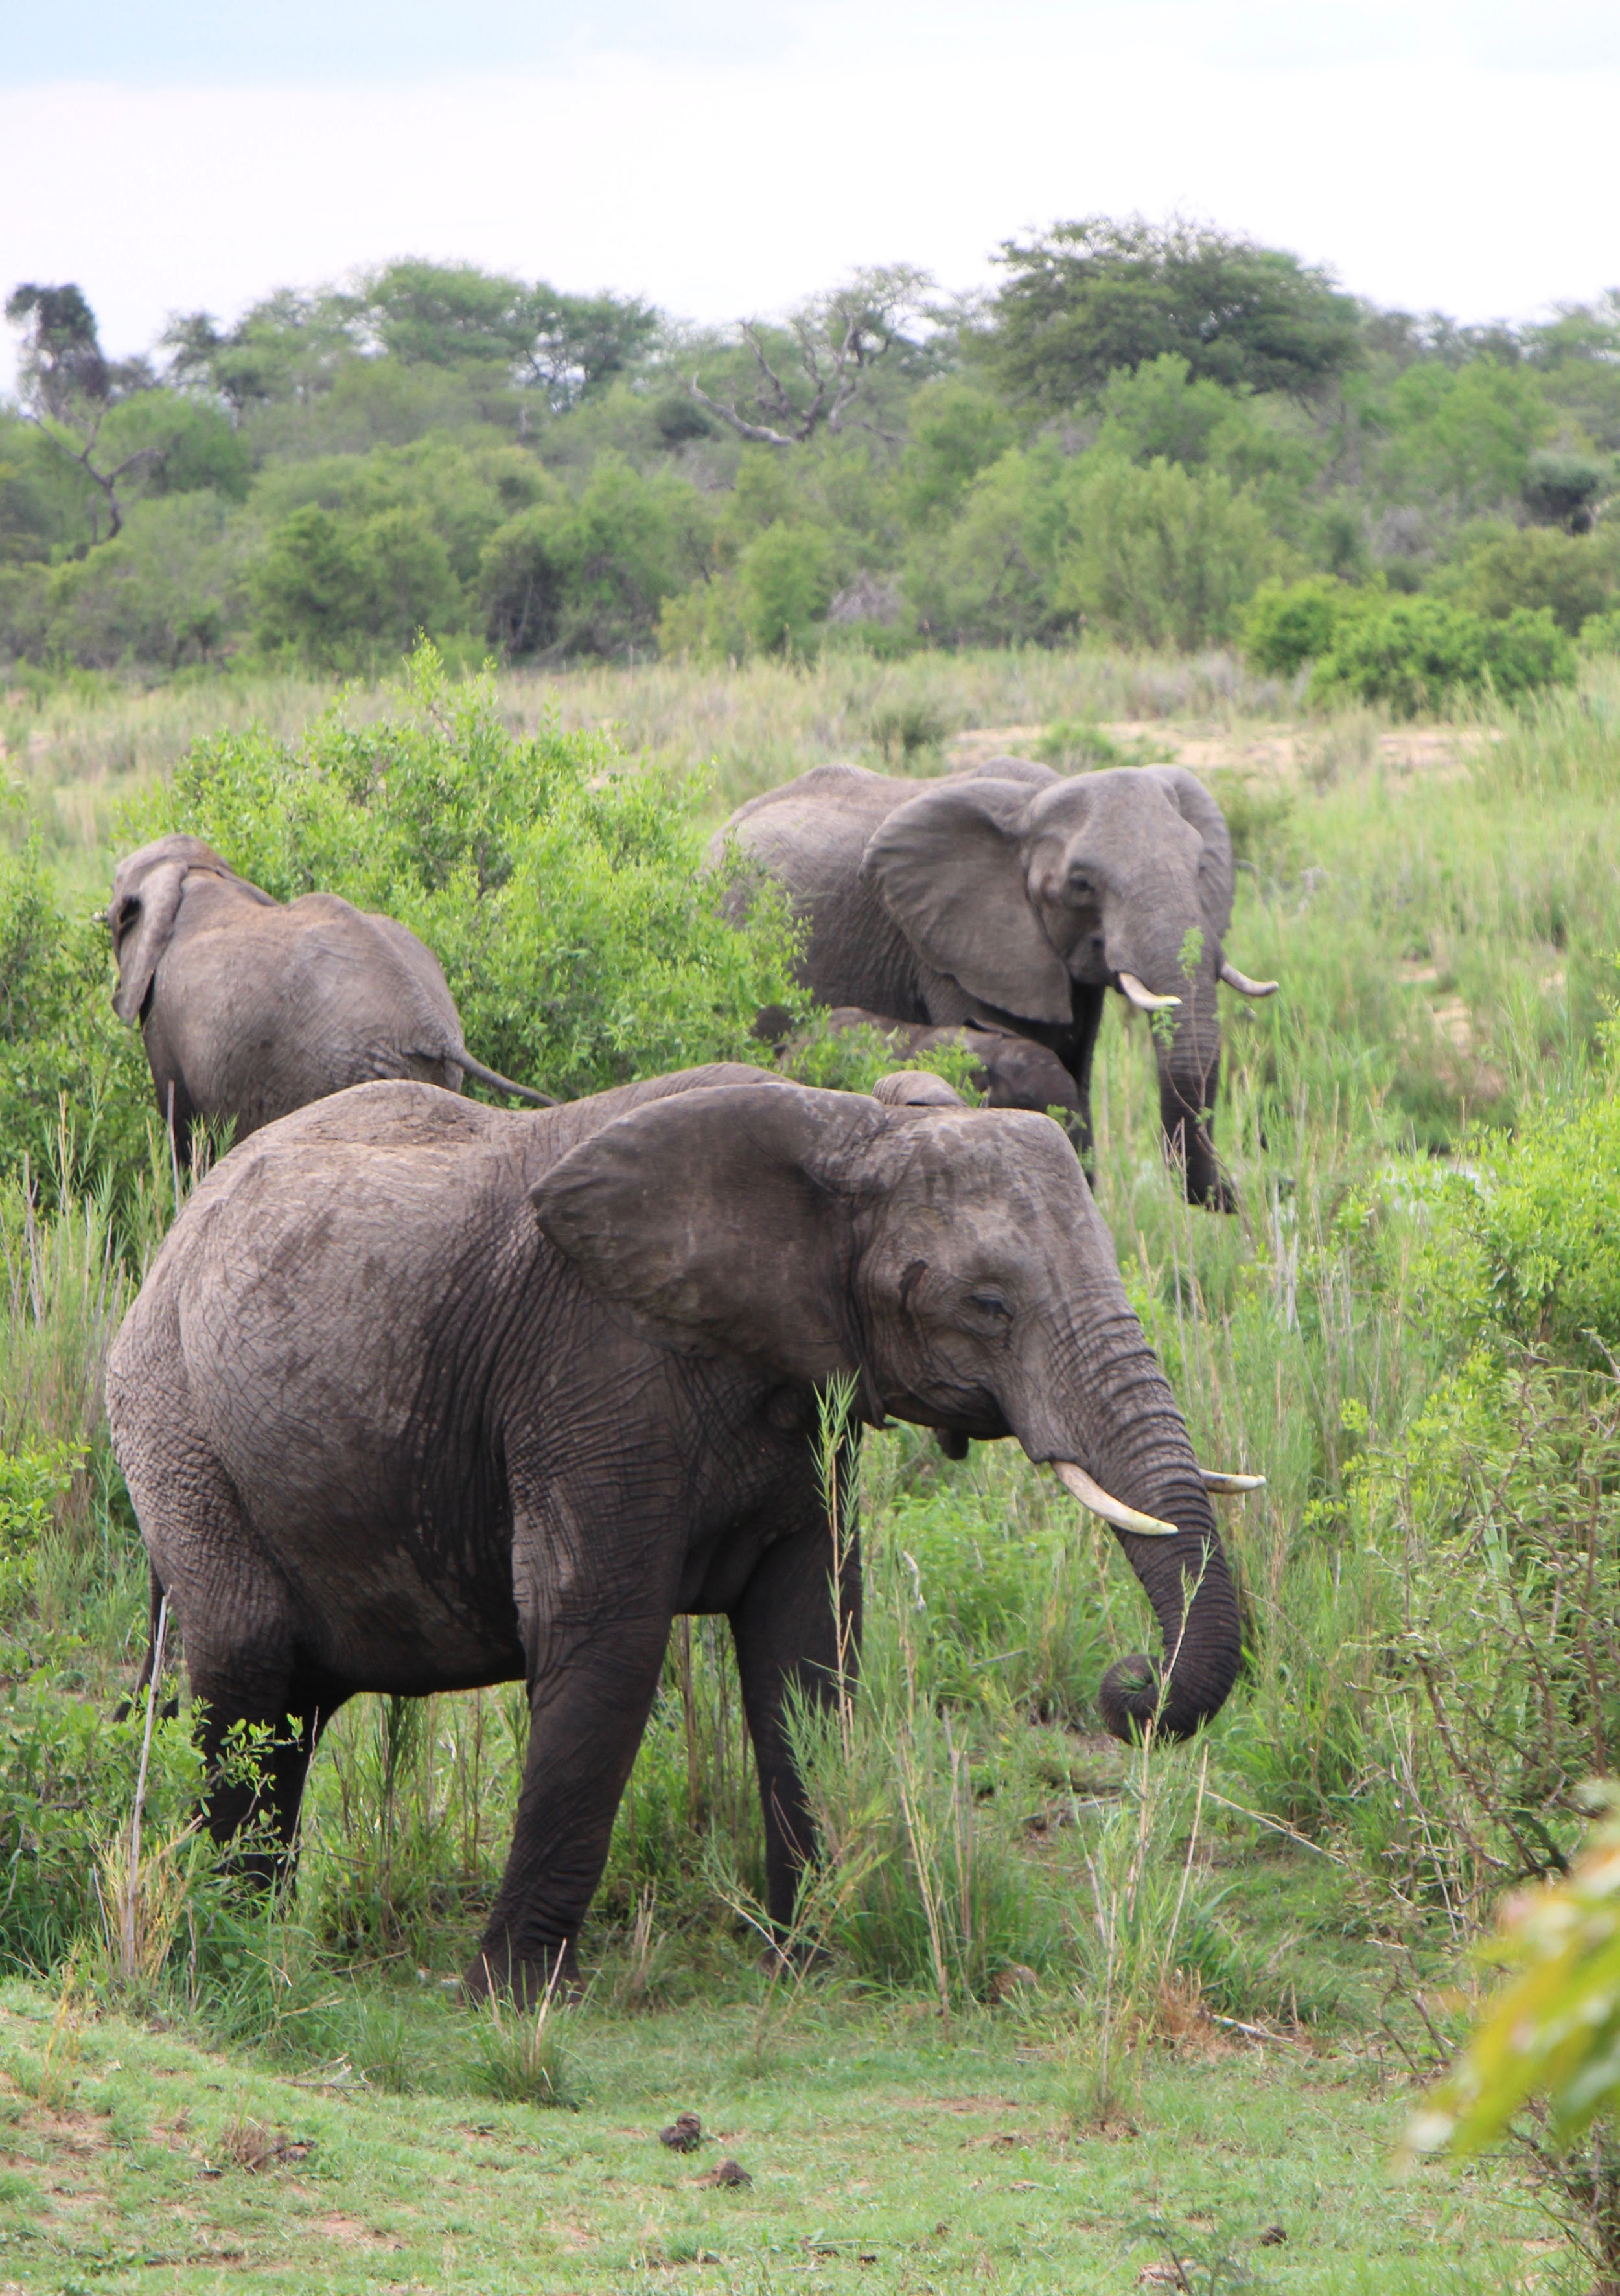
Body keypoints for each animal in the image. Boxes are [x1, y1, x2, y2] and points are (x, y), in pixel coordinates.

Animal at [109, 836, 549, 1157]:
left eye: (115, 886)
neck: (198, 876)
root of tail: (431, 1025)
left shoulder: (161, 1021)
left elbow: (180, 1126)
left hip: (334, 1069)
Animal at [110, 1056, 1250, 1993]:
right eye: (988, 1306)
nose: (1128, 1685)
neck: (845, 1131)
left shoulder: (807, 1399)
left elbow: (808, 1646)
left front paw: (803, 1963)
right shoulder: (589, 1377)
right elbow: (607, 1643)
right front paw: (508, 1997)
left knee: (283, 1706)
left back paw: (258, 1931)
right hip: (175, 1418)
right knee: (245, 1668)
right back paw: (232, 1943)